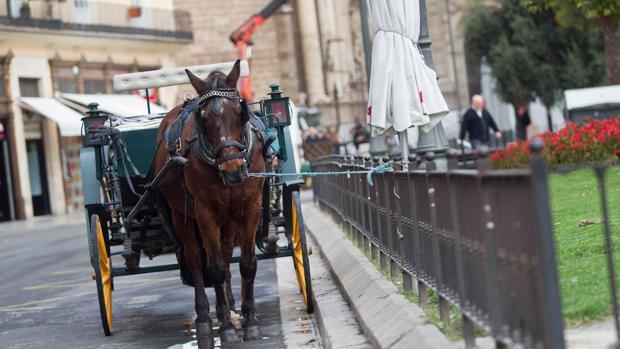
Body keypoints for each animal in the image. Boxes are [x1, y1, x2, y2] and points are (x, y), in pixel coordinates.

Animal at [154, 59, 266, 346]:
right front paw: (225, 328)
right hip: (182, 216)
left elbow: (247, 264)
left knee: (226, 255)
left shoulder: (250, 208)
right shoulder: (205, 213)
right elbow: (213, 268)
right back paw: (205, 317)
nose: (232, 169)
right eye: (203, 119)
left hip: (228, 220)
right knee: (195, 257)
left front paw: (250, 321)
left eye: (240, 111)